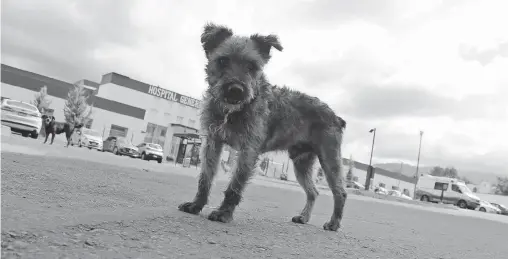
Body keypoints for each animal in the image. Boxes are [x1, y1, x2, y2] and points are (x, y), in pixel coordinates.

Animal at [177, 23, 348, 233]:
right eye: (223, 60)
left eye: (252, 66)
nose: (236, 90)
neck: (232, 112)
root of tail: (335, 116)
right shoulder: (212, 143)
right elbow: (205, 178)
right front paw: (196, 205)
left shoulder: (248, 150)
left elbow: (235, 185)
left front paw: (224, 213)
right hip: (302, 163)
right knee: (313, 192)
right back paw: (304, 217)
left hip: (330, 160)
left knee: (340, 192)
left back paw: (334, 223)